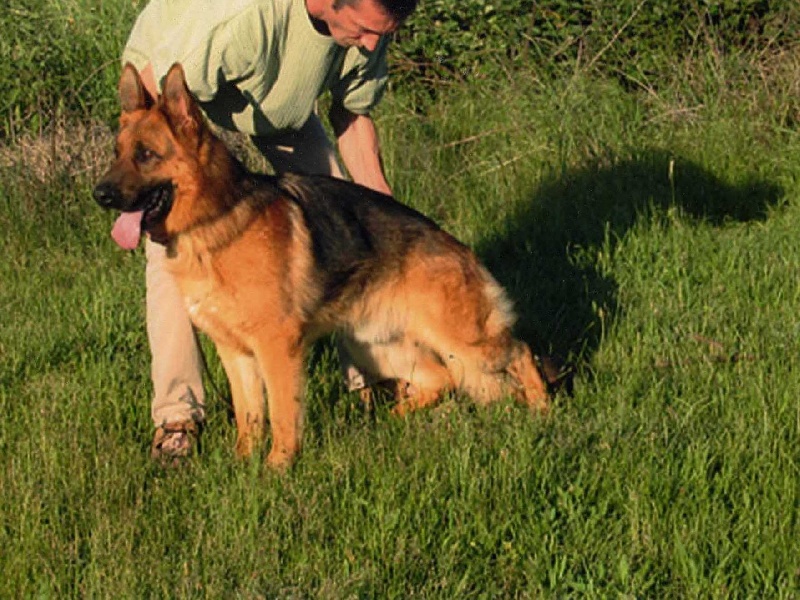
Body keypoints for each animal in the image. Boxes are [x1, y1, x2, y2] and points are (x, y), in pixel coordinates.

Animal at [94, 63, 549, 469]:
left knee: (521, 352)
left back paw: (544, 412)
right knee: (442, 379)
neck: (216, 222)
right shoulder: (235, 353)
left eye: (146, 155)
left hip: (464, 343)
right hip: (379, 349)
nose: (99, 194)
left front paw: (277, 468)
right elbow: (249, 416)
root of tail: (458, 248)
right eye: (117, 154)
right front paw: (243, 465)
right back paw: (389, 421)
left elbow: (282, 414)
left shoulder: (277, 348)